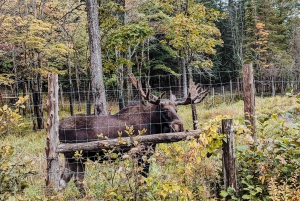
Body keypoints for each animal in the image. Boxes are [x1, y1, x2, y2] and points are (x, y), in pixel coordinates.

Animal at [58, 74, 209, 195]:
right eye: (163, 109)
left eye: (176, 109)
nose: (178, 125)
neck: (153, 126)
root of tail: (58, 128)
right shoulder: (141, 153)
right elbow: (142, 179)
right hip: (74, 156)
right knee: (72, 180)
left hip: (75, 157)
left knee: (68, 181)